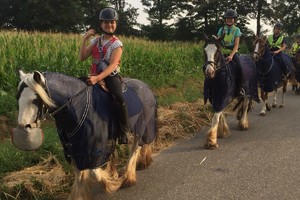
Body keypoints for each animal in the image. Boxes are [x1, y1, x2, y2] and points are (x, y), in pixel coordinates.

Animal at [12, 70, 157, 198]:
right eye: (18, 97)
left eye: (35, 99)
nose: (23, 127)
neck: (77, 107)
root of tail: (145, 85)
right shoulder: (73, 149)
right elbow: (80, 174)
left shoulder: (94, 147)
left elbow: (94, 171)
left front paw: (112, 184)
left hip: (142, 126)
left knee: (136, 148)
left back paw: (129, 177)